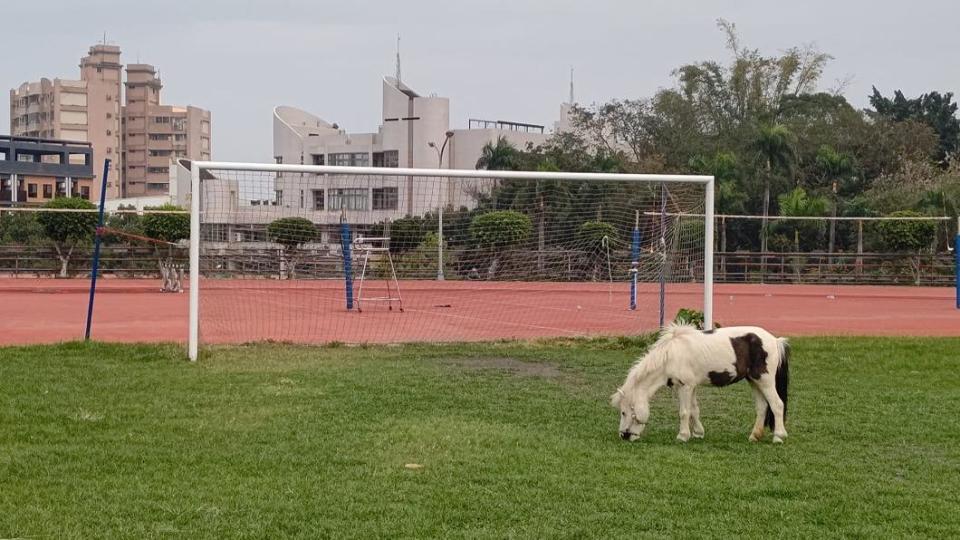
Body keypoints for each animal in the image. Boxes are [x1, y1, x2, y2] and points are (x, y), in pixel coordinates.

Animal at [612, 324, 792, 442]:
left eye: (624, 412)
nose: (624, 435)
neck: (671, 356)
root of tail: (775, 341)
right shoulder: (691, 386)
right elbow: (694, 410)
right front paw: (698, 433)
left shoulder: (684, 387)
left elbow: (684, 412)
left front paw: (683, 436)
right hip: (755, 382)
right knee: (762, 407)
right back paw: (754, 436)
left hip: (765, 381)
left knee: (777, 405)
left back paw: (779, 436)